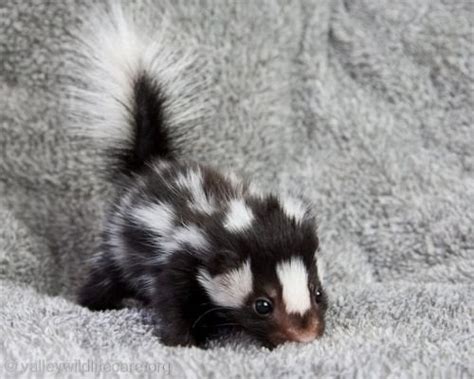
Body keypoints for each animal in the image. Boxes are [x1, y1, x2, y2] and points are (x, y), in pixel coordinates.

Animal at [75, 2, 326, 348]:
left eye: (317, 293)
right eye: (262, 305)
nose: (304, 334)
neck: (220, 219)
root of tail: (152, 165)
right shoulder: (180, 258)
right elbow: (173, 298)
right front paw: (183, 341)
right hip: (118, 242)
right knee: (106, 274)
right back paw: (91, 302)